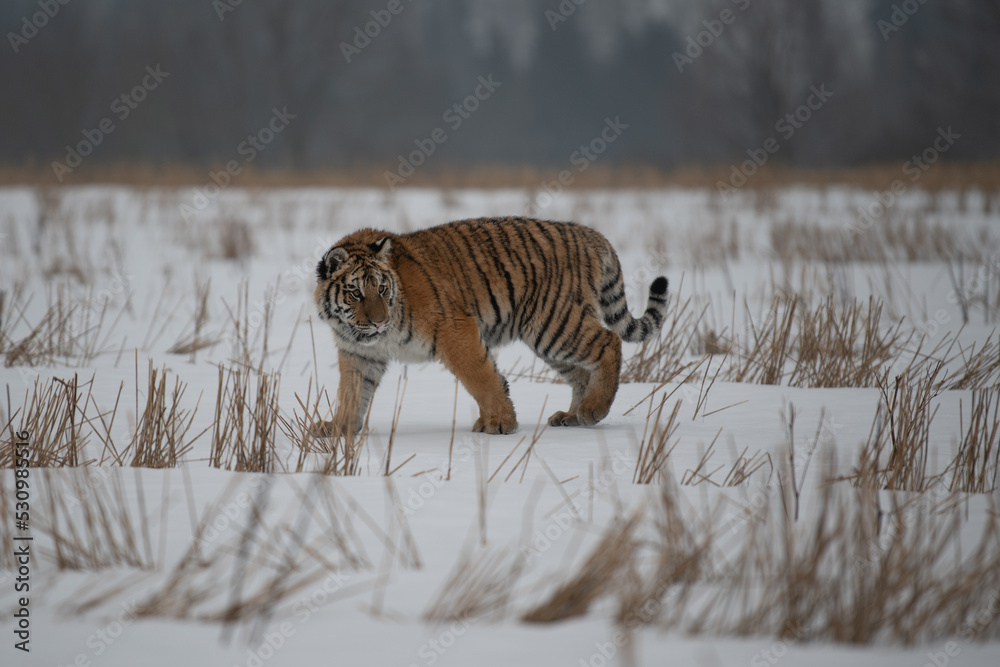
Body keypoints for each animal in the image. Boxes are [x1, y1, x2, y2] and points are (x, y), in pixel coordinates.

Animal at [312, 216, 668, 436]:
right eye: (357, 292)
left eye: (382, 289)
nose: (380, 321)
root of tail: (593, 235)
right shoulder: (359, 355)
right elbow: (352, 392)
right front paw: (339, 429)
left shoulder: (455, 330)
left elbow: (483, 378)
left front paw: (500, 424)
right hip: (551, 339)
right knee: (581, 373)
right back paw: (573, 416)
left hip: (555, 324)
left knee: (610, 342)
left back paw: (594, 409)